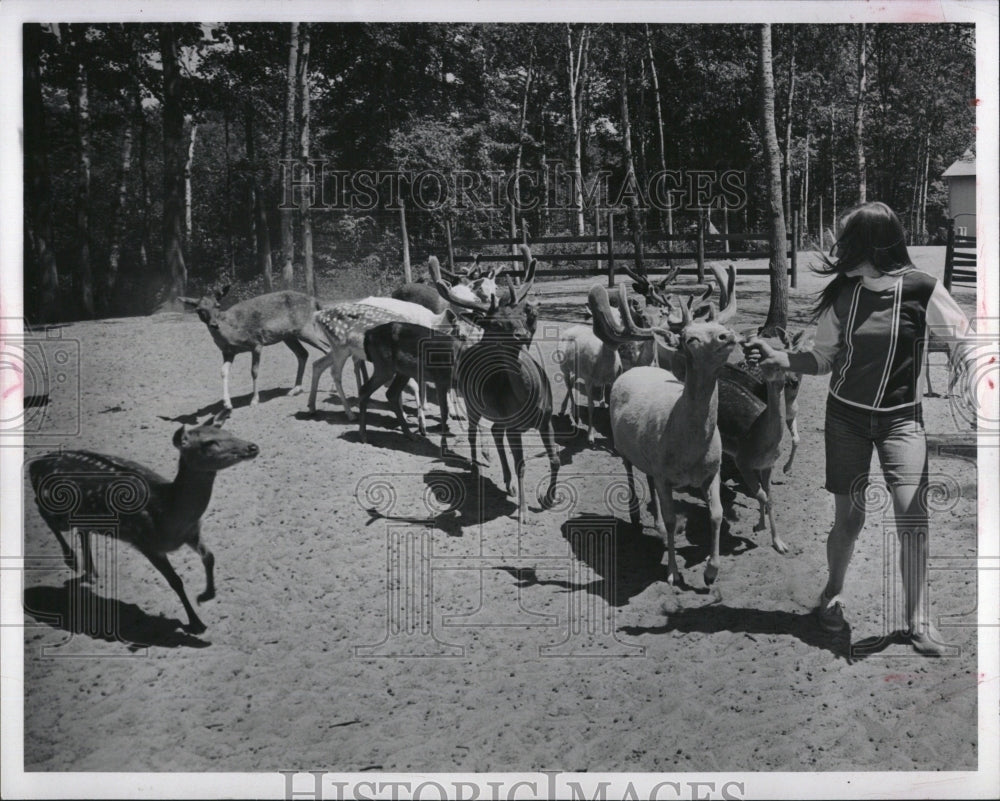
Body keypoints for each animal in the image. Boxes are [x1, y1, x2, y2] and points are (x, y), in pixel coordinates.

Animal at [176, 288, 324, 410]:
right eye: (199, 310)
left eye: (217, 305)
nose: (214, 324)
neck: (232, 334)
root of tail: (315, 300)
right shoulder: (227, 352)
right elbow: (223, 372)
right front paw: (227, 404)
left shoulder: (256, 343)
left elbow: (254, 371)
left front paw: (254, 400)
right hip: (289, 336)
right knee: (303, 354)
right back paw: (295, 389)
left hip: (305, 329)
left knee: (325, 348)